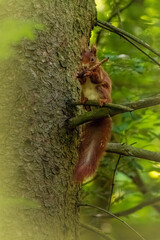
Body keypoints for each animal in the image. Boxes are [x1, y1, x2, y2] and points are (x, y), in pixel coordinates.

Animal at [73, 46, 112, 183]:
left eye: (92, 59)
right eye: (80, 57)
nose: (84, 67)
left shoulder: (100, 72)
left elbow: (98, 78)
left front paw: (90, 73)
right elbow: (82, 81)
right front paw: (79, 75)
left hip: (102, 91)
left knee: (102, 92)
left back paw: (103, 101)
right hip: (82, 93)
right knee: (84, 99)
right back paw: (85, 102)